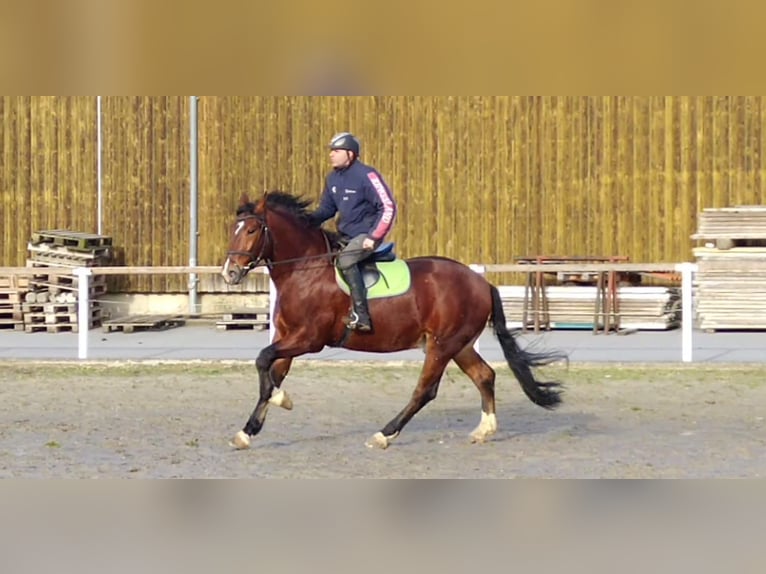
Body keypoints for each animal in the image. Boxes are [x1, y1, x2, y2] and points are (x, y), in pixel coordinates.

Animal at [219, 191, 568, 452]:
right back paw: (484, 430)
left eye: (251, 230)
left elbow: (262, 360)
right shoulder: (288, 337)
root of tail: (481, 282)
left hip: (441, 346)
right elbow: (270, 372)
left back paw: (384, 434)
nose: (229, 273)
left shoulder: (308, 339)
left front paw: (281, 399)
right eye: (233, 229)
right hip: (460, 345)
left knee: (425, 391)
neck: (305, 270)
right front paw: (248, 430)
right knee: (485, 376)